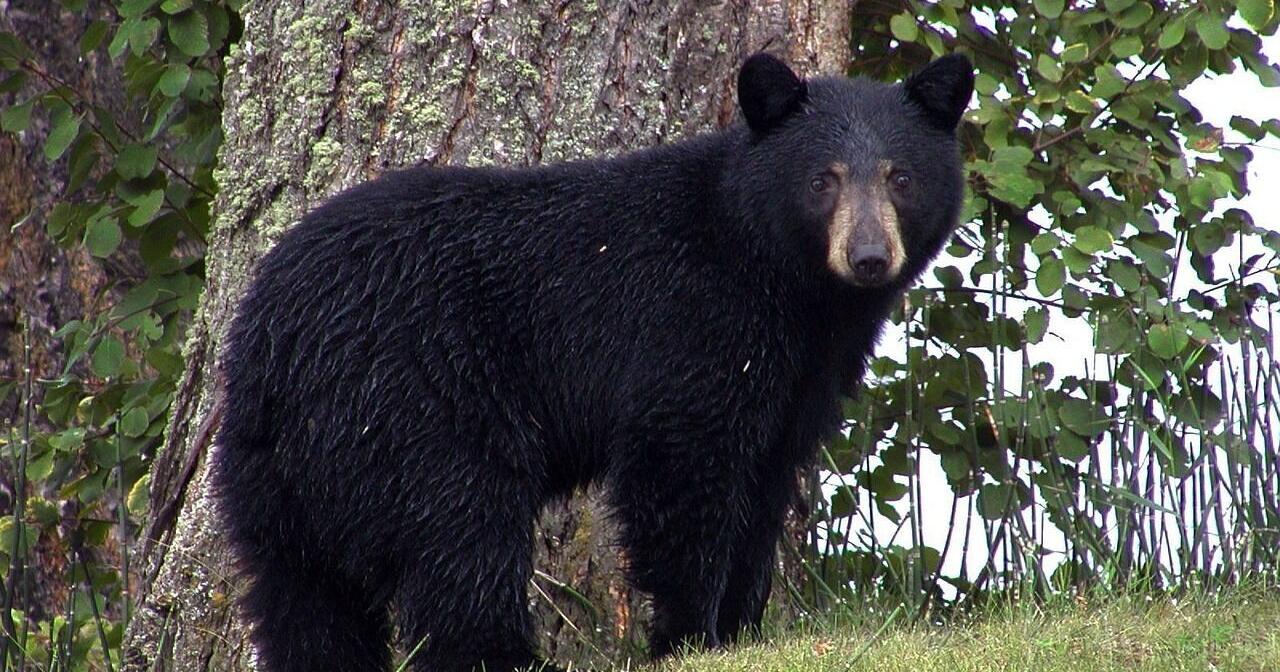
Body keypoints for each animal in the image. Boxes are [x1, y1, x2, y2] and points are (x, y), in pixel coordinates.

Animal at [212, 52, 973, 672]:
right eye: (823, 180)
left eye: (901, 177)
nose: (869, 257)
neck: (784, 282)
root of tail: (270, 341)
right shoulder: (692, 323)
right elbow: (681, 467)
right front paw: (690, 637)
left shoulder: (801, 376)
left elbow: (765, 484)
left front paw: (741, 631)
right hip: (415, 400)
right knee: (461, 533)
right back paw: (511, 657)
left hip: (273, 474)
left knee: (302, 596)